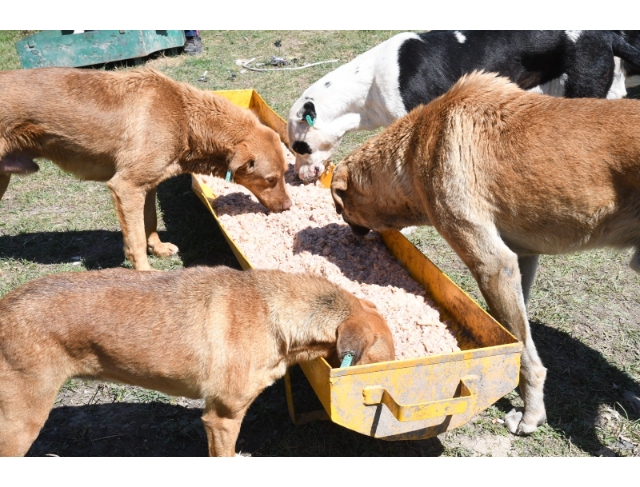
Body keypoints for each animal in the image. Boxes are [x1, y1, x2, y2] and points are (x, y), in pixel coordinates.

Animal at [0, 66, 292, 270]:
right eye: (270, 179)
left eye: (285, 174)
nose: (289, 207)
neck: (185, 118)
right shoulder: (126, 186)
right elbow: (136, 239)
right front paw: (145, 272)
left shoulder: (147, 185)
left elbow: (149, 222)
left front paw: (158, 249)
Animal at [330, 71, 640, 438]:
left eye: (339, 207)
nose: (348, 234)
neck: (419, 144)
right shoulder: (521, 259)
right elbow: (518, 336)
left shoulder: (493, 266)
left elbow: (525, 356)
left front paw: (530, 416)